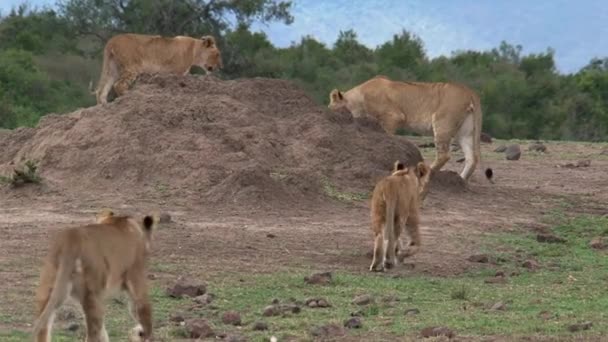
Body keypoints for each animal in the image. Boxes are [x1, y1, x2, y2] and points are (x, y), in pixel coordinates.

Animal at [32, 210, 159, 340]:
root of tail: (72, 238)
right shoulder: (136, 276)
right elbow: (143, 311)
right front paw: (140, 333)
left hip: (48, 289)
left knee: (43, 328)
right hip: (93, 294)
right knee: (93, 334)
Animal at [328, 75, 494, 198]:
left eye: (330, 106)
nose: (328, 111)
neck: (359, 98)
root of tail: (469, 90)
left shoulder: (394, 117)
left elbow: (388, 135)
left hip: (442, 123)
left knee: (444, 155)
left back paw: (425, 175)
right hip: (465, 132)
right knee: (472, 158)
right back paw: (461, 180)